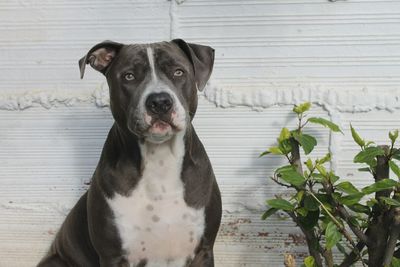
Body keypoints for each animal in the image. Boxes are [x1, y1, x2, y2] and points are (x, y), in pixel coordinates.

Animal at [37, 39, 222, 267]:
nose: (160, 102)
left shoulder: (203, 251)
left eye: (178, 72)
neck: (159, 160)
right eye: (129, 76)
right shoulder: (113, 256)